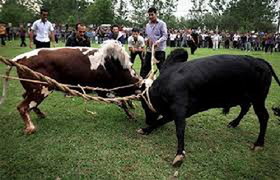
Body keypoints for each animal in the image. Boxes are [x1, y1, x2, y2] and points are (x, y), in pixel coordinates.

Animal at [6, 40, 142, 134]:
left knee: (25, 99)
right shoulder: (103, 91)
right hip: (41, 89)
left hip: (33, 89)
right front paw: (131, 115)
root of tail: (19, 58)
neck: (114, 65)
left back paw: (40, 114)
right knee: (23, 107)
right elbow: (120, 101)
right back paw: (30, 128)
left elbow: (123, 100)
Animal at [138, 48, 280, 167]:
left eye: (145, 106)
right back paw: (234, 123)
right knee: (245, 107)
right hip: (244, 97)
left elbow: (179, 130)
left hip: (258, 99)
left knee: (263, 117)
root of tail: (259, 60)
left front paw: (179, 154)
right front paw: (146, 129)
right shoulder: (174, 112)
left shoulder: (179, 109)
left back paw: (259, 143)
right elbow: (161, 121)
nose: (147, 121)